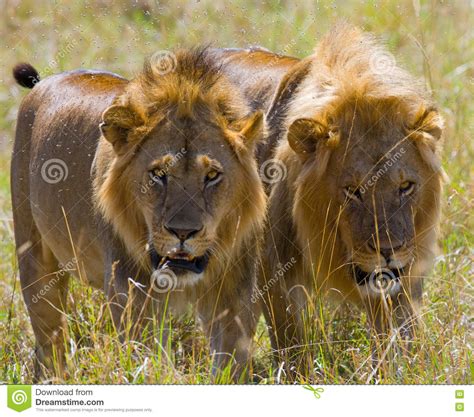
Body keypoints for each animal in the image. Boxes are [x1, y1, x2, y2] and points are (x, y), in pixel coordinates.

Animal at [10, 47, 266, 378]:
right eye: (158, 174)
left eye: (212, 176)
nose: (183, 232)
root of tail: (45, 82)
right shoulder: (131, 290)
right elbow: (147, 359)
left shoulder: (234, 291)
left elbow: (230, 367)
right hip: (33, 256)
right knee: (50, 340)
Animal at [214, 24, 444, 364]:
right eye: (353, 191)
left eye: (406, 186)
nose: (388, 250)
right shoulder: (273, 269)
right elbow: (291, 342)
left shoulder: (402, 276)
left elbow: (401, 336)